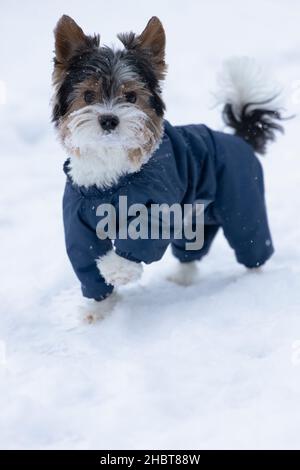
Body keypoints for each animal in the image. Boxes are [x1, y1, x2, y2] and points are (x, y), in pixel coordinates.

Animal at [51, 14, 284, 320]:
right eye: (88, 96)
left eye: (131, 97)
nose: (109, 120)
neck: (112, 183)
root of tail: (239, 140)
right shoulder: (78, 220)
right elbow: (86, 259)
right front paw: (99, 309)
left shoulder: (160, 205)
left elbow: (143, 232)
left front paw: (118, 269)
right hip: (197, 215)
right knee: (192, 247)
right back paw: (182, 277)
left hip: (242, 200)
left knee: (252, 240)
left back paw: (254, 281)